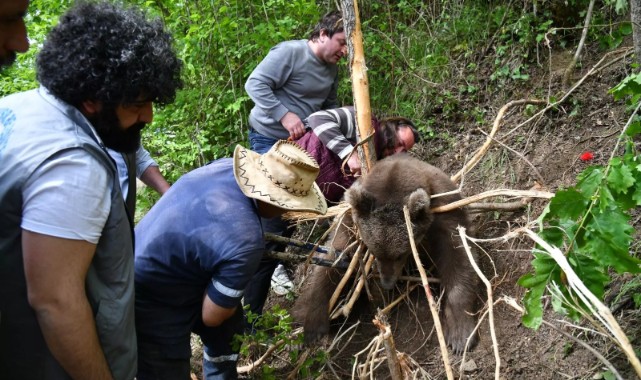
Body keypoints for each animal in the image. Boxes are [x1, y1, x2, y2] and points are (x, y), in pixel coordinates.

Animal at [292, 154, 478, 354]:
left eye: (400, 254)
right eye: (374, 252)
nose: (387, 283)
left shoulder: (444, 208)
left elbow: (459, 255)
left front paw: (460, 334)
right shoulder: (351, 223)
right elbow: (334, 259)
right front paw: (312, 326)